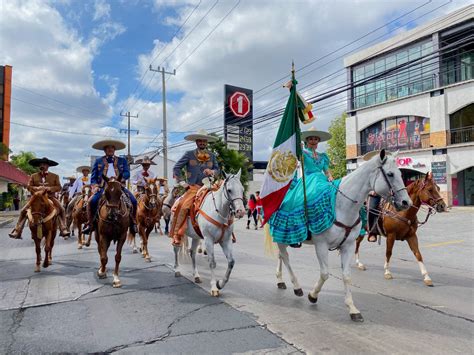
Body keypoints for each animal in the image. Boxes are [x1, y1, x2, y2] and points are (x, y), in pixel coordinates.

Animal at [270, 150, 412, 322]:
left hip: (284, 237)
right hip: (282, 233)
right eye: (390, 174)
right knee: (285, 257)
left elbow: (346, 276)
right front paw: (313, 295)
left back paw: (280, 280)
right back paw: (296, 287)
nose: (406, 202)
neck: (342, 205)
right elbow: (325, 274)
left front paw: (352, 308)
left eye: (400, 173)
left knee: (280, 256)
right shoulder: (321, 245)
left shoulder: (348, 246)